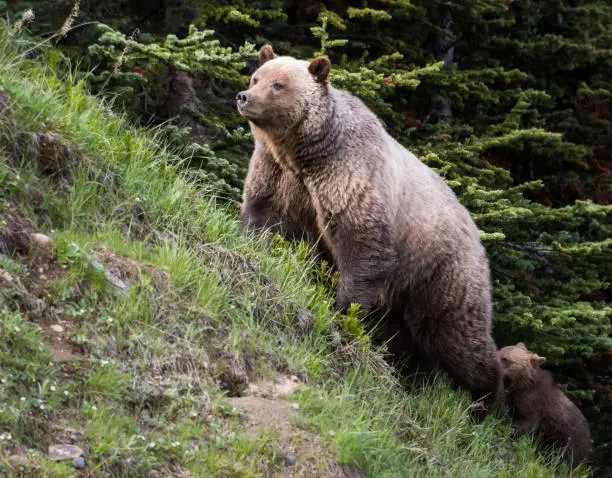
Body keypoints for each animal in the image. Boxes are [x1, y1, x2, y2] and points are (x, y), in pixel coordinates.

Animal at [237, 44, 500, 404]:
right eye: (257, 76)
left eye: (279, 85)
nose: (244, 96)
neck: (303, 153)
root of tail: (476, 232)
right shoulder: (278, 174)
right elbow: (263, 216)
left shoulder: (349, 176)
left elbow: (362, 247)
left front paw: (343, 312)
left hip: (443, 269)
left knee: (458, 335)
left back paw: (489, 396)